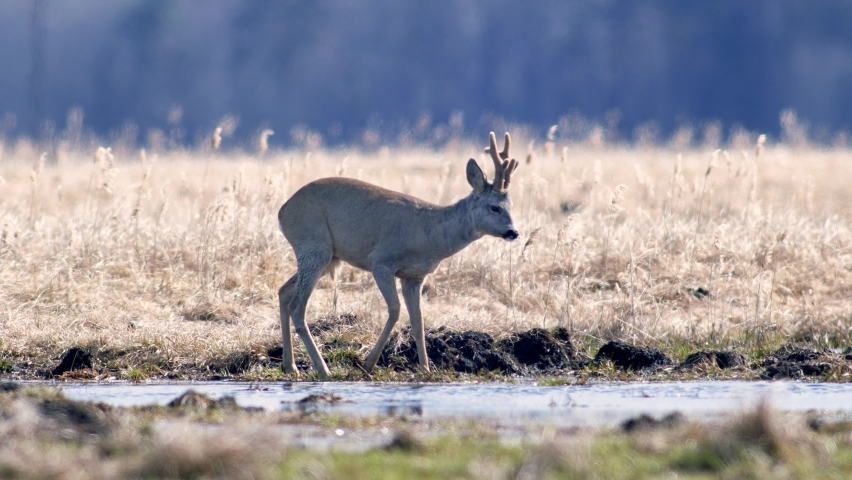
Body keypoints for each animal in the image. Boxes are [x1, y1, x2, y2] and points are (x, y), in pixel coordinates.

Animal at [277, 132, 520, 379]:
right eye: (494, 207)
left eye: (511, 205)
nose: (513, 232)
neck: (429, 235)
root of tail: (281, 212)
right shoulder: (381, 261)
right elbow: (395, 311)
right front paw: (368, 363)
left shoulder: (414, 276)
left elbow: (418, 321)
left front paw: (425, 369)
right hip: (314, 244)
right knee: (297, 307)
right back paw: (323, 369)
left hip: (326, 255)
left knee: (284, 292)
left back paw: (290, 365)